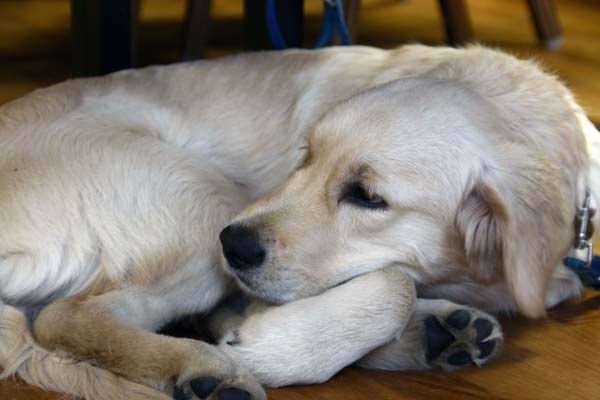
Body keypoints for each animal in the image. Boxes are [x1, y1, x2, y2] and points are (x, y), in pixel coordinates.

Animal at [0, 44, 597, 400]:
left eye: (367, 196)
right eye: (306, 155)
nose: (234, 246)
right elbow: (395, 284)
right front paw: (268, 350)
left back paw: (441, 333)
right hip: (207, 200)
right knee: (66, 316)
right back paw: (205, 369)